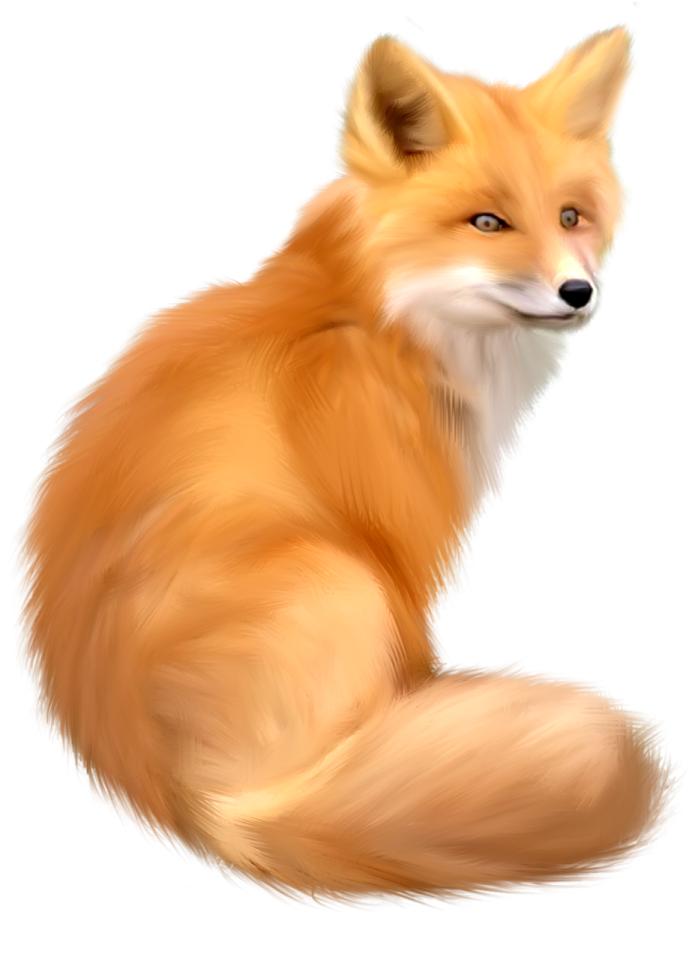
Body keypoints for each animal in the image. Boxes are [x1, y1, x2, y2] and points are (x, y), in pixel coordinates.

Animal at [10, 23, 684, 912]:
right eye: (487, 222)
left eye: (572, 216)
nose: (578, 291)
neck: (384, 315)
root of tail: (196, 815)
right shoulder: (403, 537)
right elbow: (424, 652)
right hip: (341, 579)